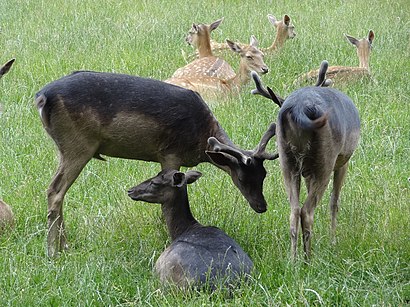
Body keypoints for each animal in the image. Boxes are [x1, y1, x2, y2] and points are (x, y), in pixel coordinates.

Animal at [36, 70, 278, 258]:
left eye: (264, 175)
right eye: (242, 177)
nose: (261, 206)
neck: (201, 139)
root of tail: (41, 97)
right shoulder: (170, 153)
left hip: (65, 148)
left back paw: (64, 246)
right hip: (77, 145)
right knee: (55, 190)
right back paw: (53, 251)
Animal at [251, 61, 360, 262]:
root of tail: (299, 109)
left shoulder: (307, 172)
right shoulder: (343, 159)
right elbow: (334, 203)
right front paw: (333, 241)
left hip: (287, 161)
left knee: (294, 210)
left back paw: (293, 260)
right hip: (326, 159)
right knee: (307, 211)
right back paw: (309, 260)